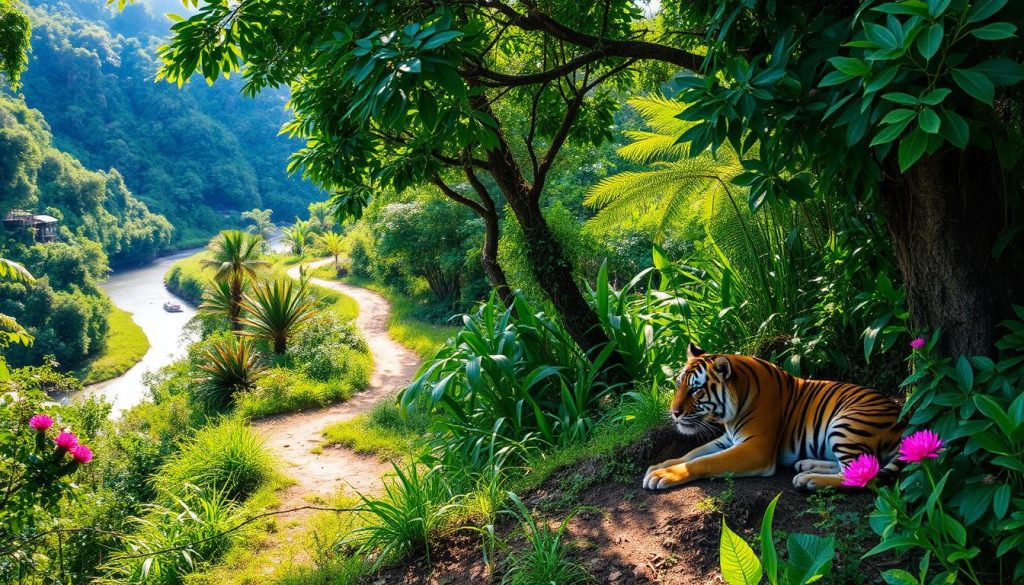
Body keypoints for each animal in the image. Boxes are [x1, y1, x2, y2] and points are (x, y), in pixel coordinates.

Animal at [642, 343, 906, 491]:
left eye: (696, 390)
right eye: (678, 385)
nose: (674, 413)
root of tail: (903, 421)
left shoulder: (756, 448)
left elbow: (705, 461)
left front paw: (663, 475)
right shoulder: (728, 439)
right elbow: (693, 453)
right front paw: (660, 465)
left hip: (846, 423)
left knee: (862, 476)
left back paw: (810, 480)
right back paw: (806, 466)